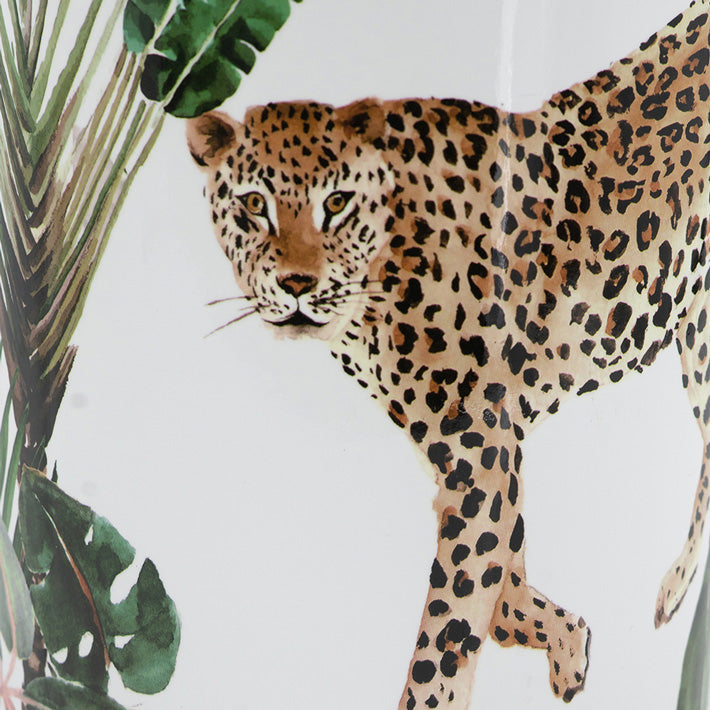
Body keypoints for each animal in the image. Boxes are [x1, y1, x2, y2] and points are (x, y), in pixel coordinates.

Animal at [186, 1, 710, 706]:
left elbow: (449, 631)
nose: (297, 283)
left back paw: (672, 592)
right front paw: (570, 643)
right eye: (253, 205)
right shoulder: (479, 453)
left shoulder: (479, 450)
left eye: (335, 203)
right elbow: (505, 580)